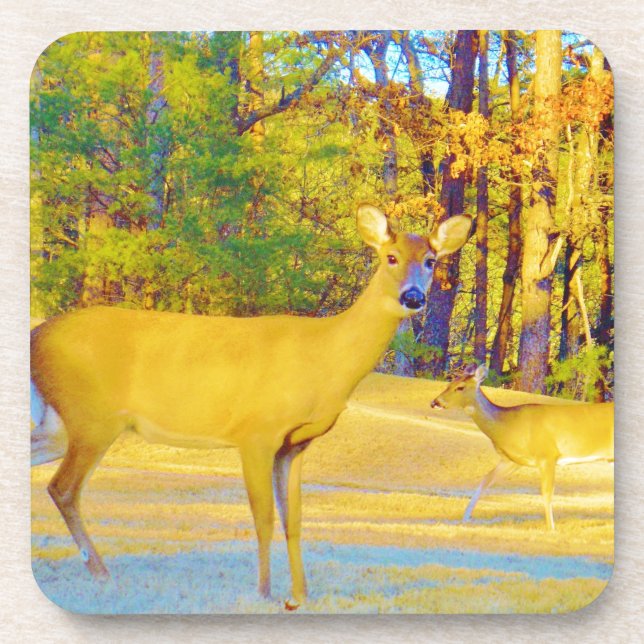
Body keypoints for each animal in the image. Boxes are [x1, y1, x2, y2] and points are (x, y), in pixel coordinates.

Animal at [31, 203, 471, 609]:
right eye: (390, 257)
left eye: (431, 261)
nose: (413, 297)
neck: (325, 359)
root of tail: (39, 334)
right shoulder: (256, 432)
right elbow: (264, 516)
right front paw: (265, 592)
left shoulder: (295, 444)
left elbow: (294, 518)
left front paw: (301, 595)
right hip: (92, 416)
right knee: (63, 488)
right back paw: (103, 574)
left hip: (60, 424)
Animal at [430, 364, 614, 531]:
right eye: (449, 384)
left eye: (460, 387)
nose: (435, 402)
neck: (509, 427)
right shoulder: (512, 461)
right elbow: (485, 481)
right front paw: (464, 518)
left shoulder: (547, 455)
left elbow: (547, 492)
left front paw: (551, 528)